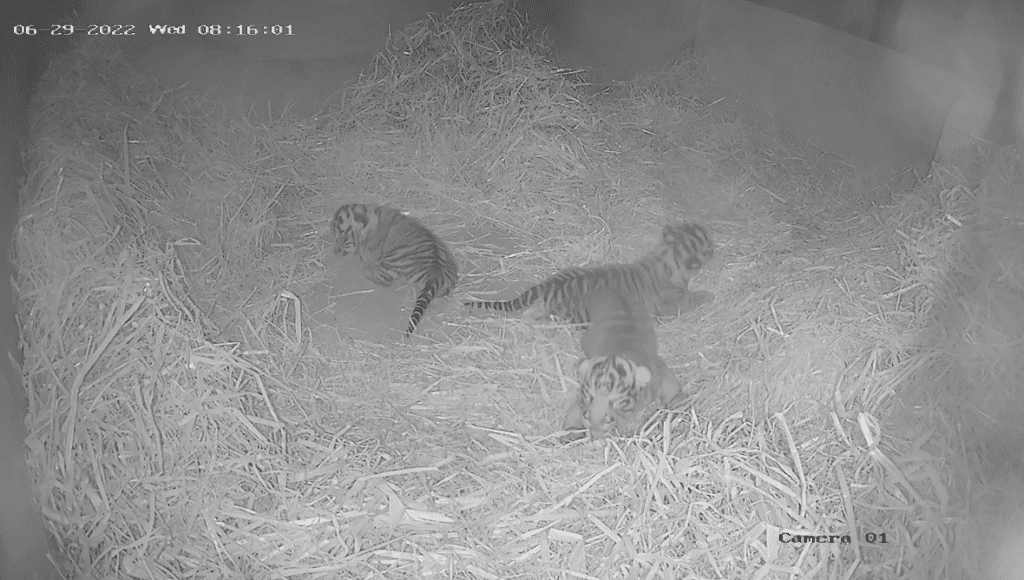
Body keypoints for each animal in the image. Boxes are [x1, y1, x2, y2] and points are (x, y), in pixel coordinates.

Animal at [331, 203, 459, 335]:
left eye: (341, 233)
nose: (336, 249)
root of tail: (434, 272)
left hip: (391, 261)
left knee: (384, 280)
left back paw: (366, 270)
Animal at [463, 223, 714, 324]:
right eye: (706, 243)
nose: (714, 247)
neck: (668, 255)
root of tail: (549, 284)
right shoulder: (672, 304)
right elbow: (692, 298)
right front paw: (708, 295)